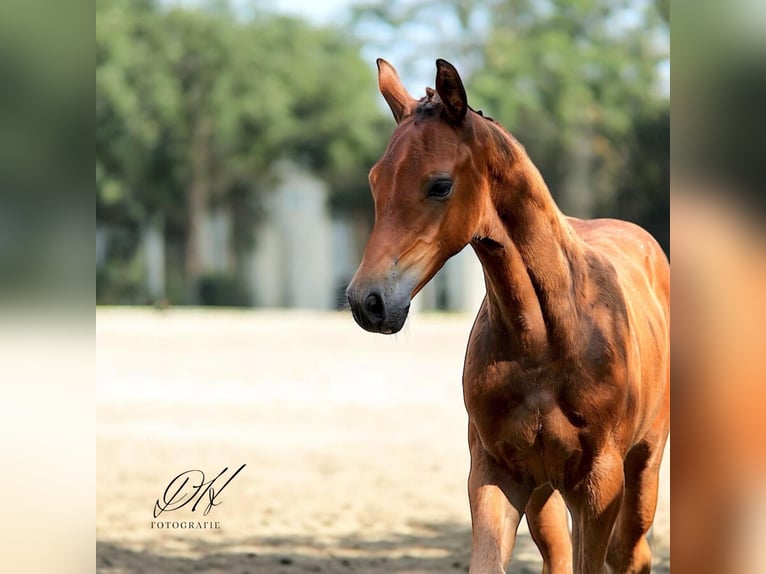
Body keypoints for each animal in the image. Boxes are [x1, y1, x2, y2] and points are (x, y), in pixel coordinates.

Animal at [346, 58, 670, 574]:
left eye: (440, 185)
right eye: (376, 180)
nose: (367, 301)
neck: (540, 342)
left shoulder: (599, 485)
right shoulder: (495, 472)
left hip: (643, 465)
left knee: (631, 553)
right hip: (545, 493)